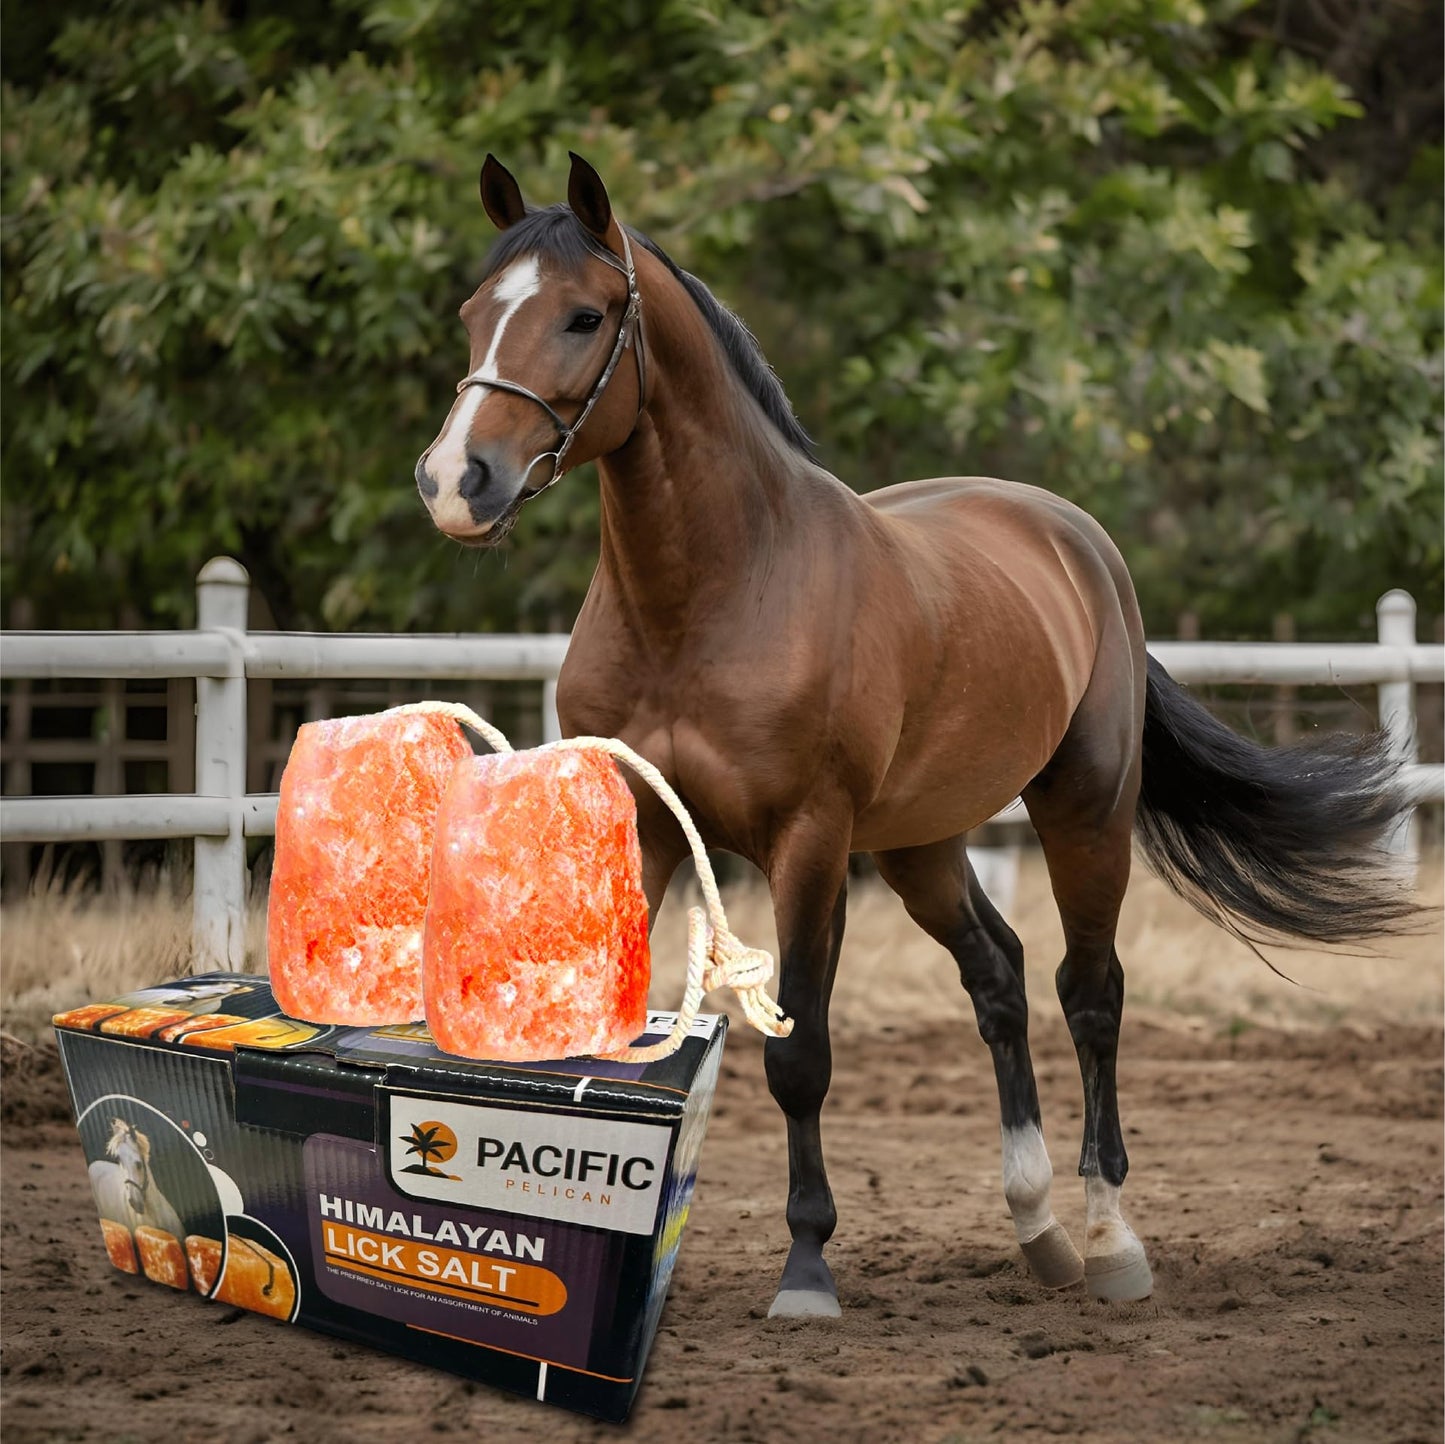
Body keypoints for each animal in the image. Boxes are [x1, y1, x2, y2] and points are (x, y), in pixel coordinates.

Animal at [415, 153, 1414, 1319]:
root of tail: (1074, 539)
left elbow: (800, 1054)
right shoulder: (651, 831)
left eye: (582, 316)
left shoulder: (808, 844)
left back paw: (1109, 1240)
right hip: (918, 844)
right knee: (998, 975)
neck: (714, 591)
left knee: (1089, 994)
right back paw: (1035, 1228)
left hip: (1082, 813)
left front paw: (807, 1271)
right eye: (474, 313)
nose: (455, 482)